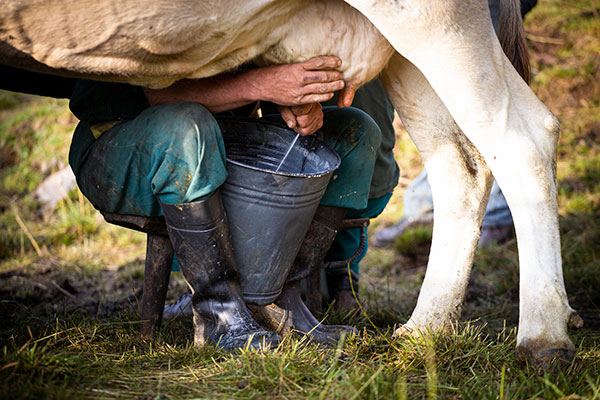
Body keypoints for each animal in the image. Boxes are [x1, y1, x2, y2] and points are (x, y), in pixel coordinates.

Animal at [0, 0, 580, 366]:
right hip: (406, 50)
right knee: (460, 159)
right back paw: (422, 330)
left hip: (434, 18)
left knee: (524, 140)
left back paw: (541, 339)